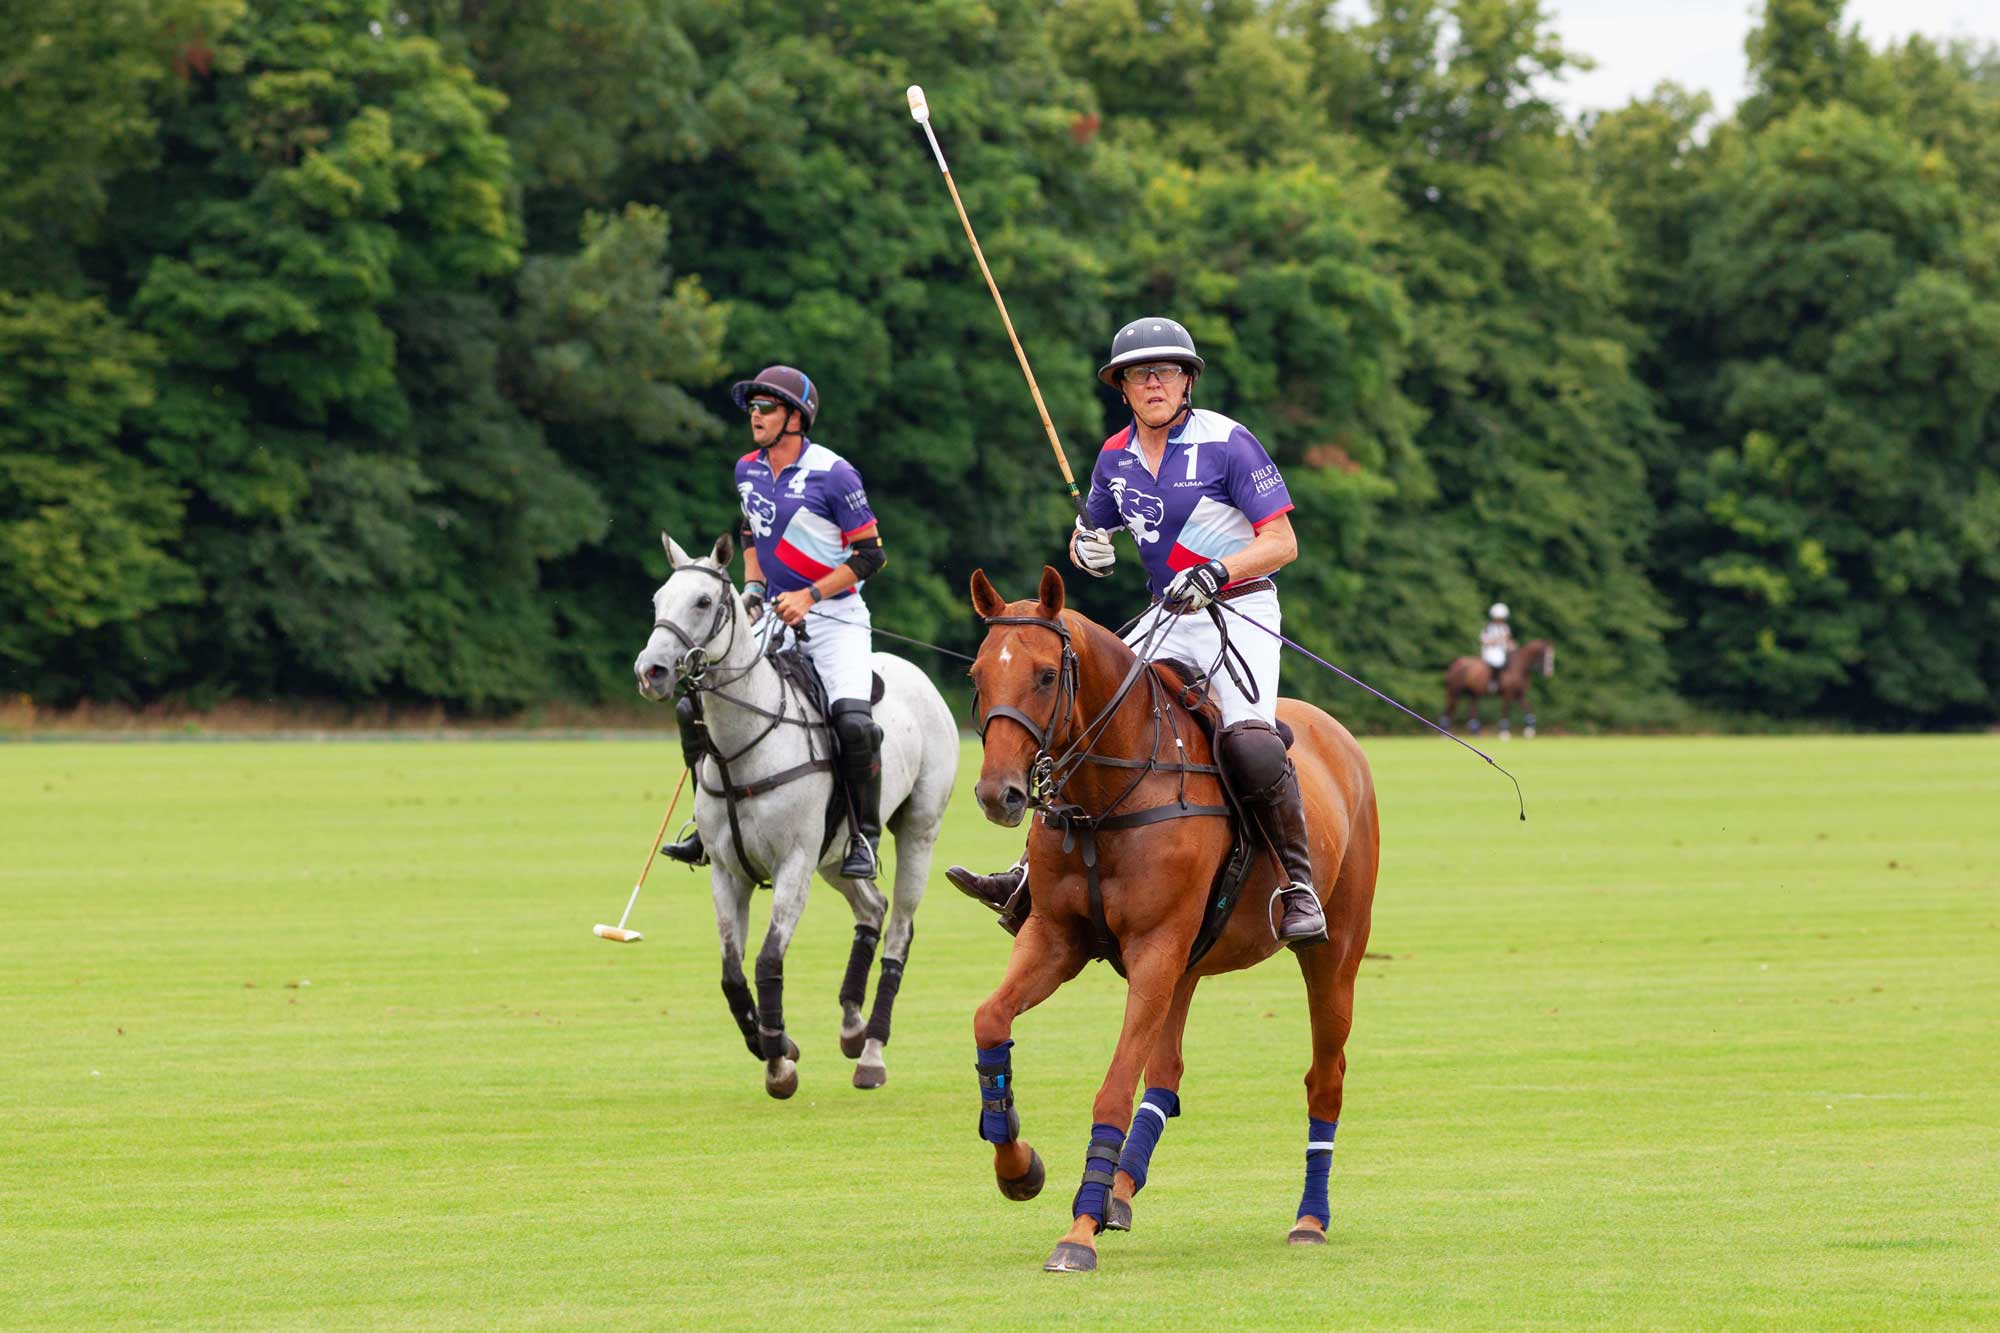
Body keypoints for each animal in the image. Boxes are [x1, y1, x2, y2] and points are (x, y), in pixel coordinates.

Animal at [636, 536, 956, 1096]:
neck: (741, 747)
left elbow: (767, 960)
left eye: (703, 601)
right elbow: (731, 973)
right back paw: (851, 1026)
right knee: (871, 907)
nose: (650, 671)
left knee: (899, 930)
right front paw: (774, 1042)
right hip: (834, 855)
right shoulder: (728, 872)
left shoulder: (793, 864)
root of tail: (918, 674)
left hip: (917, 830)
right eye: (658, 600)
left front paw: (778, 1064)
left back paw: (872, 1052)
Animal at [964, 564, 1376, 1272]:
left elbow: (1113, 1088)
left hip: (1332, 952)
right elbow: (990, 1018)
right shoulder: (1056, 938)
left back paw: (1309, 1219)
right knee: (1167, 1073)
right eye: (976, 674)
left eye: (1045, 675)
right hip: (1187, 962)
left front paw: (1077, 1233)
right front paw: (1019, 1168)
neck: (1103, 800)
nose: (1000, 794)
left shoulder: (1156, 946)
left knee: (1325, 1078)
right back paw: (1119, 1193)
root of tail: (1341, 737)